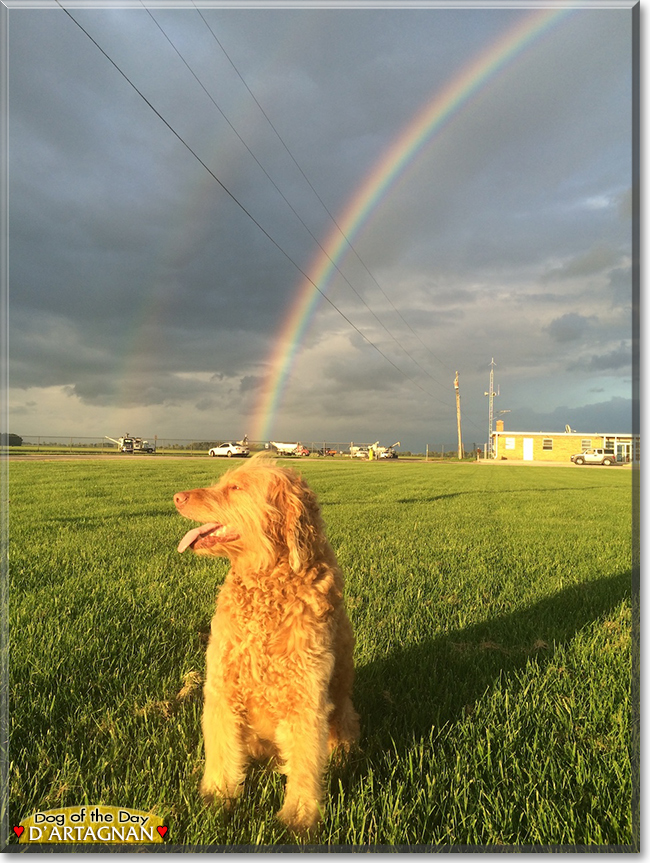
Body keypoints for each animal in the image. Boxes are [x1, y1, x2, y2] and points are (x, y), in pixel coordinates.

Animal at [172, 456, 360, 832]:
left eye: (235, 487)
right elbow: (221, 749)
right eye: (222, 482)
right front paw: (216, 798)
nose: (177, 497)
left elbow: (304, 763)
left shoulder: (305, 700)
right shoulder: (222, 689)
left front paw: (299, 817)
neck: (267, 585)